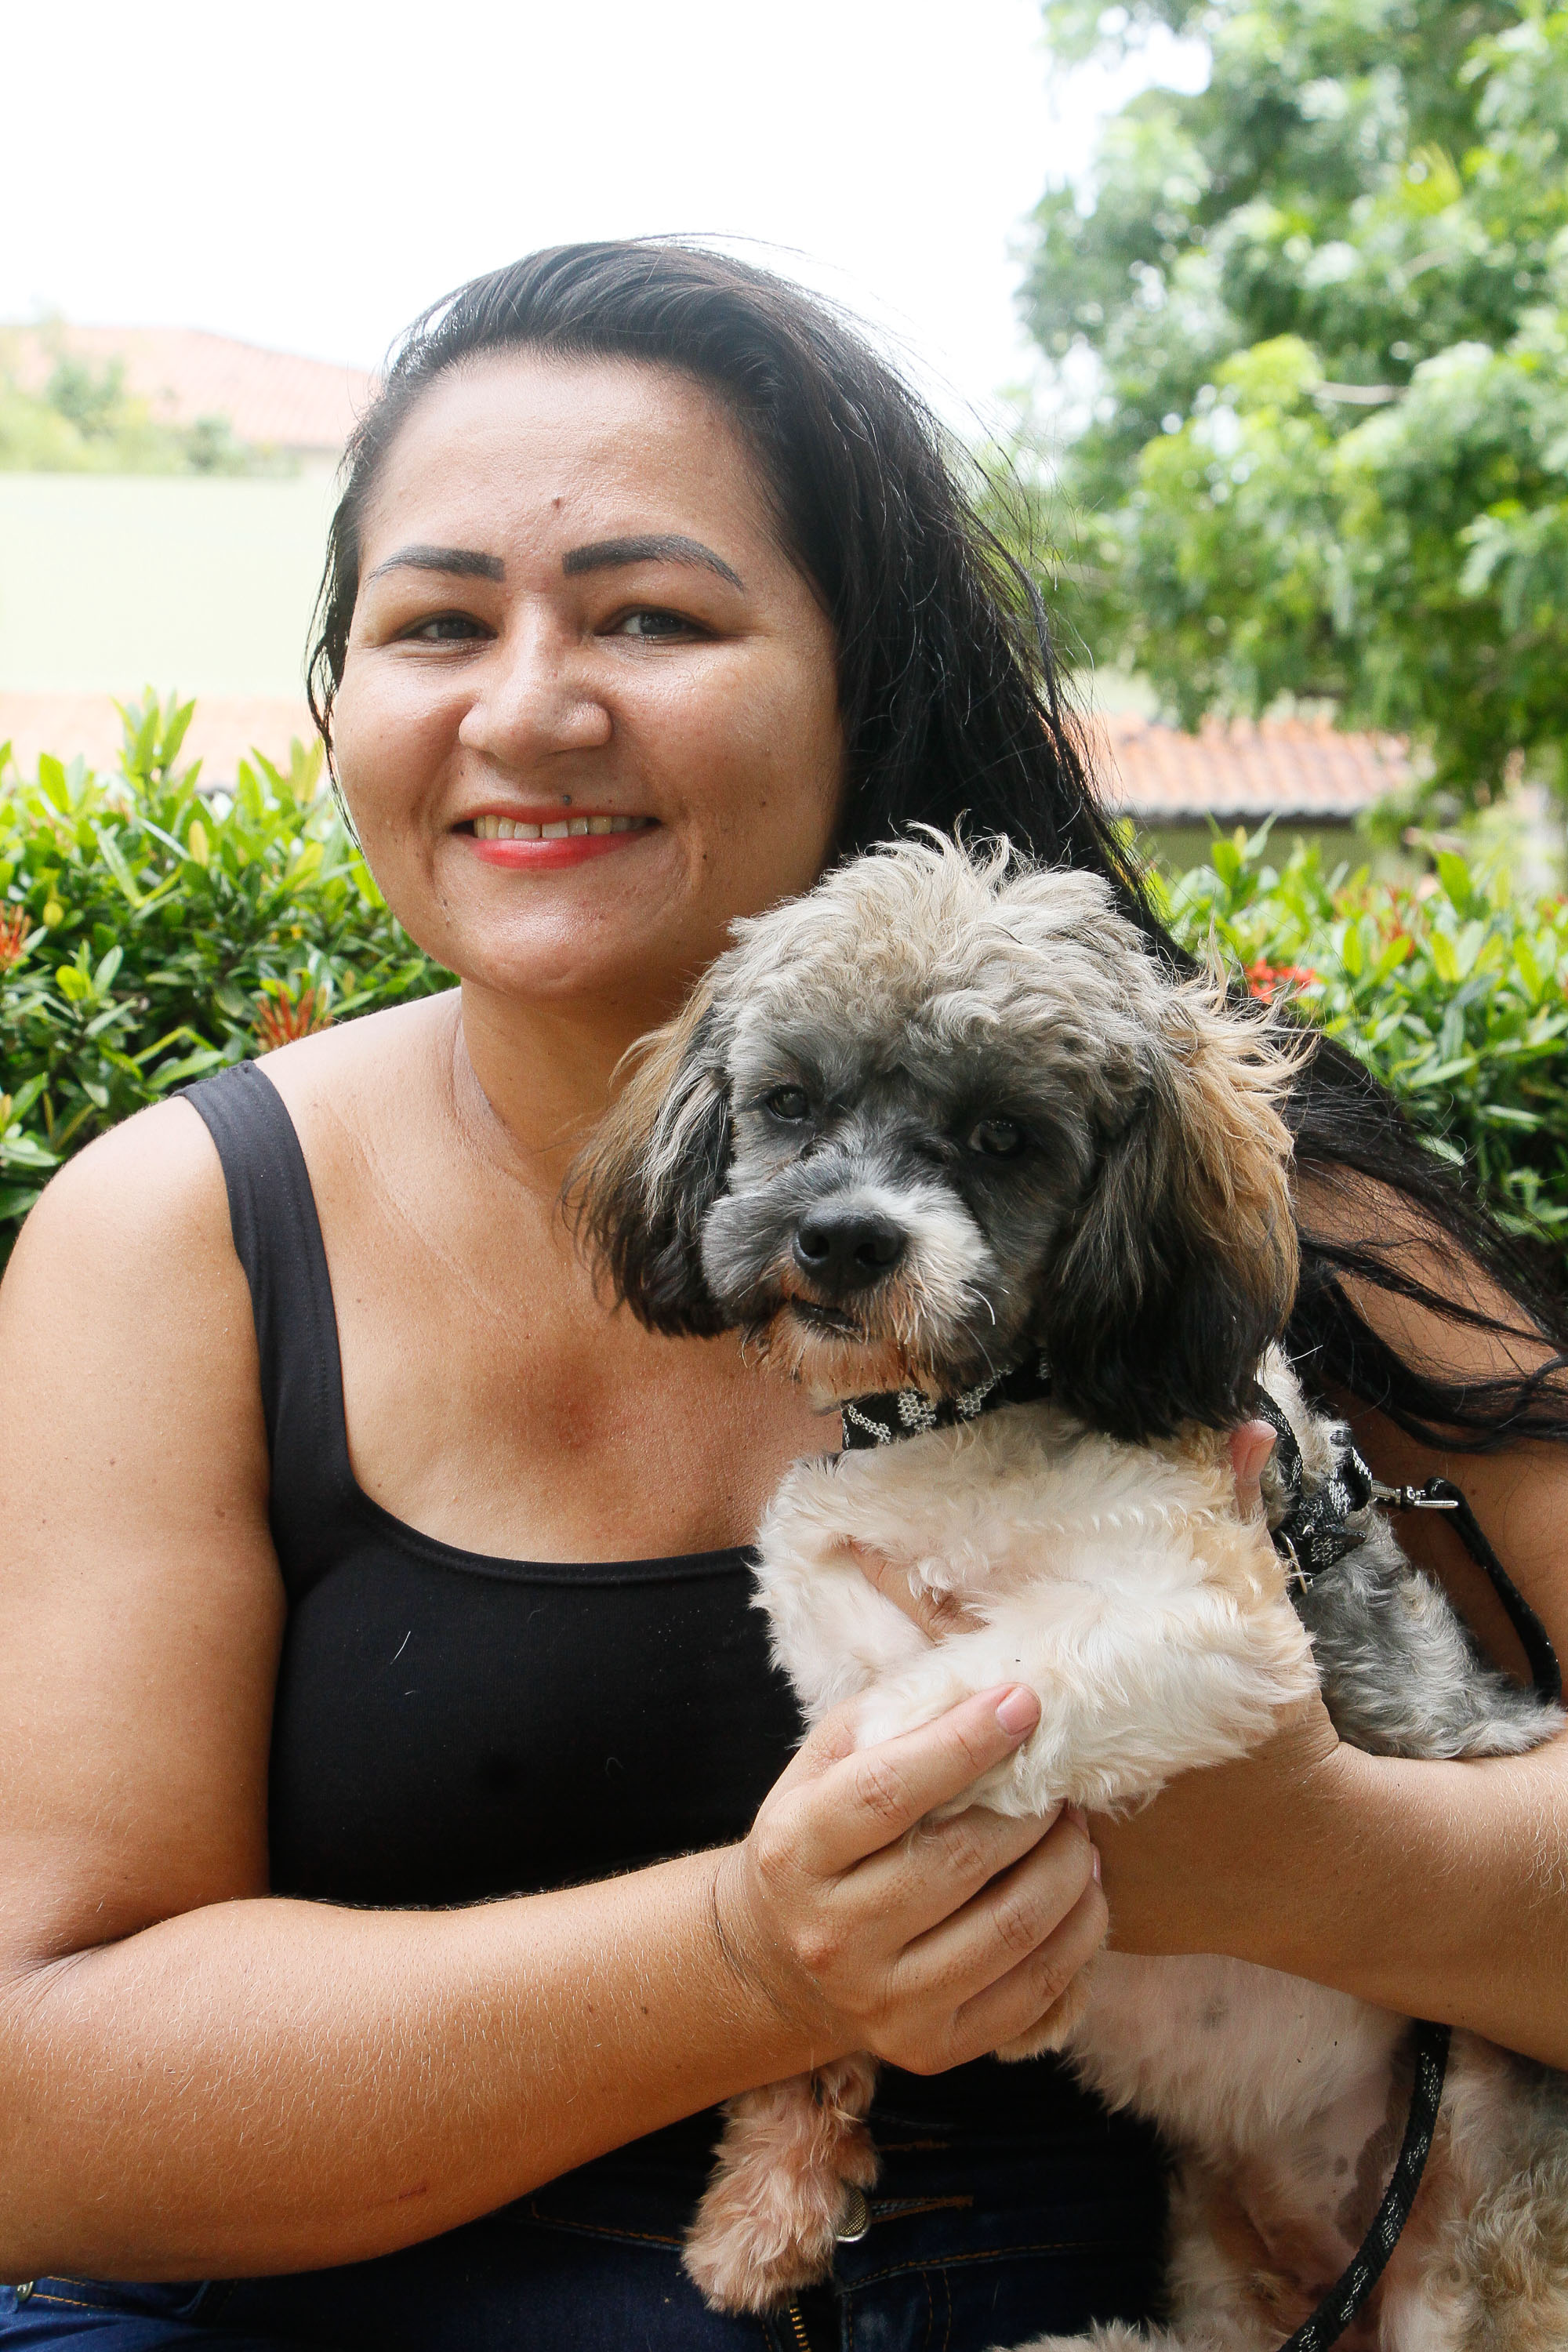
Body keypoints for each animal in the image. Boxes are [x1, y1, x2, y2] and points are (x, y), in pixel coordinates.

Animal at [575, 847, 1568, 2352]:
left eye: (1003, 1138)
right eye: (791, 1103)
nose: (845, 1237)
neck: (973, 1411)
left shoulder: (1201, 1621)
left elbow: (943, 1707)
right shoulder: (818, 1559)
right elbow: (848, 1672)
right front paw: (775, 2189)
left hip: (1471, 2225)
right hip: (1215, 2268)